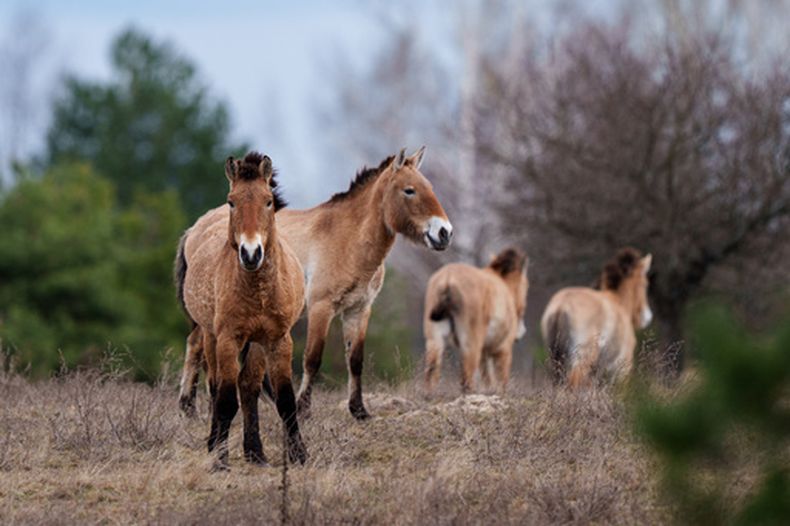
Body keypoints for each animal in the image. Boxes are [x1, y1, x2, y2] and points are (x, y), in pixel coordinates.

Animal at [175, 152, 307, 469]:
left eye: (268, 201)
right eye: (232, 201)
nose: (250, 253)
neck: (258, 291)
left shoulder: (278, 340)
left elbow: (284, 400)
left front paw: (298, 454)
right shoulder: (228, 339)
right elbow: (225, 399)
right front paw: (220, 459)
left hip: (255, 344)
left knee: (248, 387)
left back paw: (255, 452)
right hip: (211, 336)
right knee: (214, 385)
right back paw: (215, 443)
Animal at [178, 147, 453, 420]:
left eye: (428, 186)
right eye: (409, 190)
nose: (445, 233)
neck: (348, 238)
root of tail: (196, 228)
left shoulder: (359, 309)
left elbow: (355, 360)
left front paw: (359, 410)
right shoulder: (322, 307)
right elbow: (312, 359)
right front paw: (302, 408)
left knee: (196, 344)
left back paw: (190, 407)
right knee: (199, 347)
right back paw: (195, 408)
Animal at [423, 248, 529, 394]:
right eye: (527, 285)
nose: (522, 331)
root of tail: (448, 279)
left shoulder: (485, 352)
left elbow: (488, 378)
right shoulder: (503, 348)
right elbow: (501, 381)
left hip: (434, 340)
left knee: (431, 371)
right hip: (471, 345)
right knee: (466, 379)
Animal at [540, 247, 653, 387]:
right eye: (645, 284)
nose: (646, 316)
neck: (618, 302)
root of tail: (561, 306)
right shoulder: (622, 368)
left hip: (556, 358)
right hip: (582, 357)